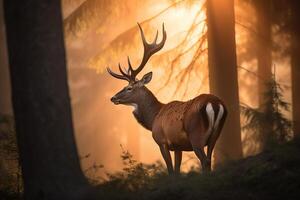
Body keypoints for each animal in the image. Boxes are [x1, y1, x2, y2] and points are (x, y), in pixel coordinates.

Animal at [108, 22, 227, 174]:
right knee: (210, 159)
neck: (153, 118)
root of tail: (215, 104)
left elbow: (170, 170)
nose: (113, 98)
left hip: (196, 135)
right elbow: (176, 170)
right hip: (216, 134)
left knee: (205, 160)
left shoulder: (162, 142)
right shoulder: (178, 146)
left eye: (129, 88)